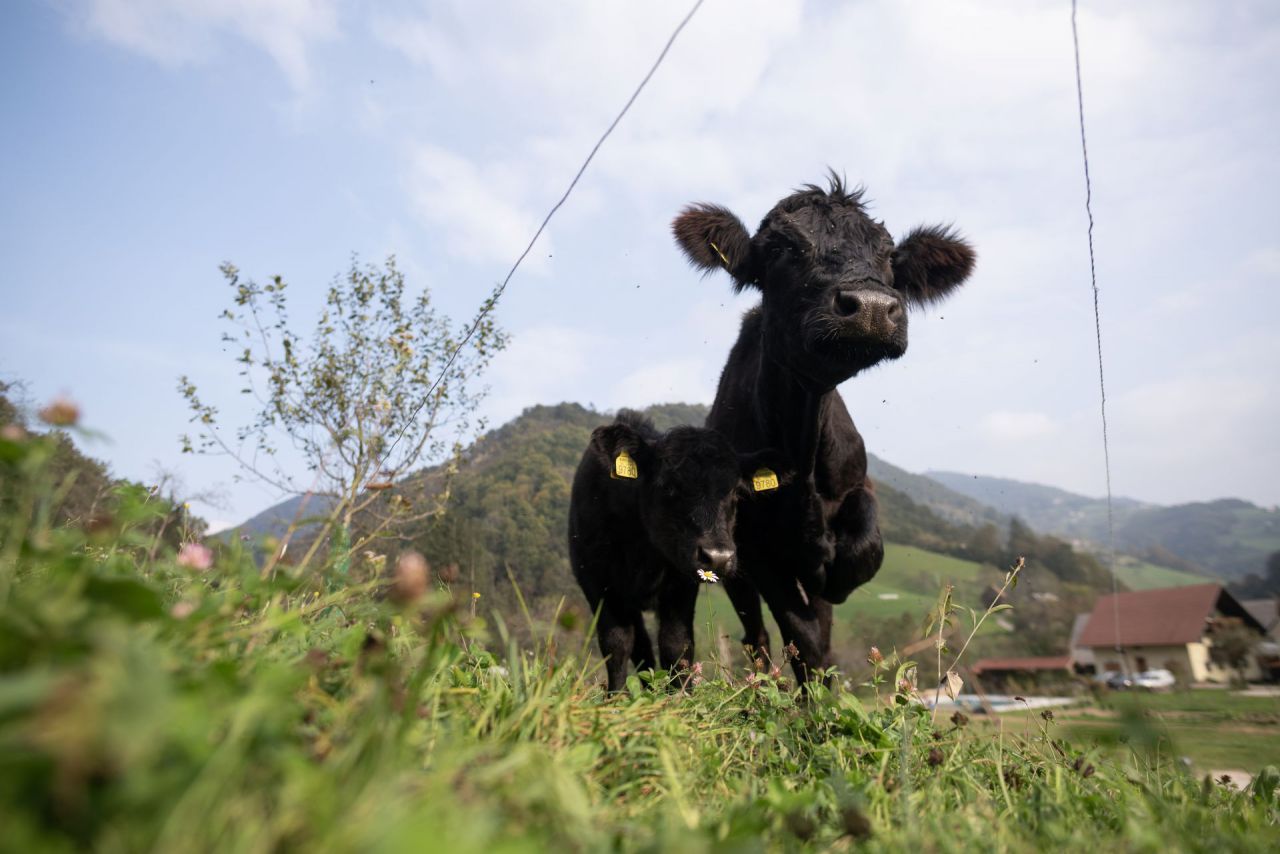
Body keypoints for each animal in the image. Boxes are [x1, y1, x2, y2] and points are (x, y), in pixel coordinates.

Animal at [568, 410, 781, 692]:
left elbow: (676, 644)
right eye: (668, 486)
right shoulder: (597, 581)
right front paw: (616, 696)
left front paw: (680, 695)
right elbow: (617, 643)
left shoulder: (681, 582)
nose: (718, 557)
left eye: (735, 492)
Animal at [672, 174, 975, 684]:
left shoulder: (859, 487)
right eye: (781, 249)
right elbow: (803, 638)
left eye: (888, 255)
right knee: (757, 637)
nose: (870, 306)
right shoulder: (757, 549)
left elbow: (861, 555)